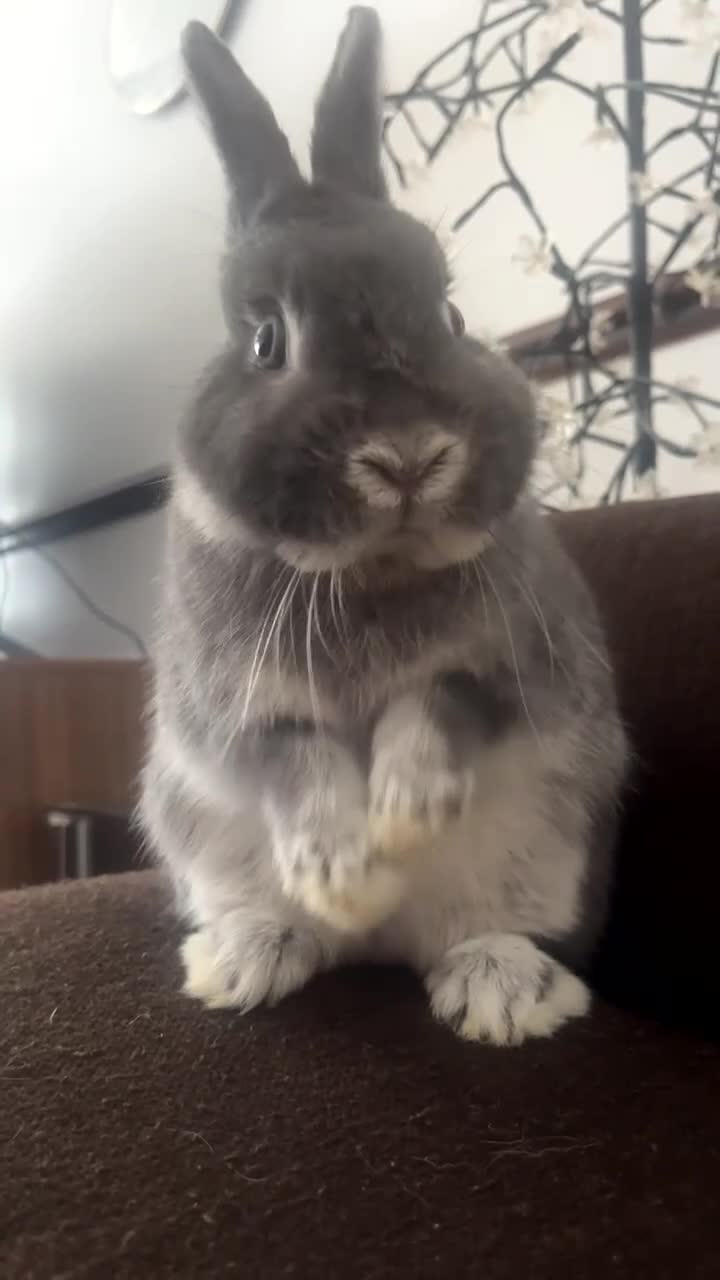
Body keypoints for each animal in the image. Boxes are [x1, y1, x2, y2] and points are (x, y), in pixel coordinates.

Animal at [140, 7, 628, 1046]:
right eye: (266, 341)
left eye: (450, 313)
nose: (408, 457)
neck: (368, 567)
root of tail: (380, 951)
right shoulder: (229, 715)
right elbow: (295, 761)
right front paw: (344, 868)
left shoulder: (518, 671)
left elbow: (437, 704)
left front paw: (406, 812)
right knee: (291, 927)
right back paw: (249, 953)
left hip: (552, 841)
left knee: (492, 931)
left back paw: (502, 993)